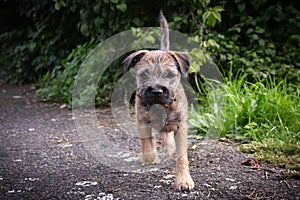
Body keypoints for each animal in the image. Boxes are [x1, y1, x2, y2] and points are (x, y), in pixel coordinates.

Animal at [123, 10, 195, 191]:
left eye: (169, 75)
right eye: (144, 75)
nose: (156, 91)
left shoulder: (180, 126)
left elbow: (182, 157)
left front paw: (184, 180)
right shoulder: (142, 122)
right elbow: (148, 148)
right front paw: (151, 157)